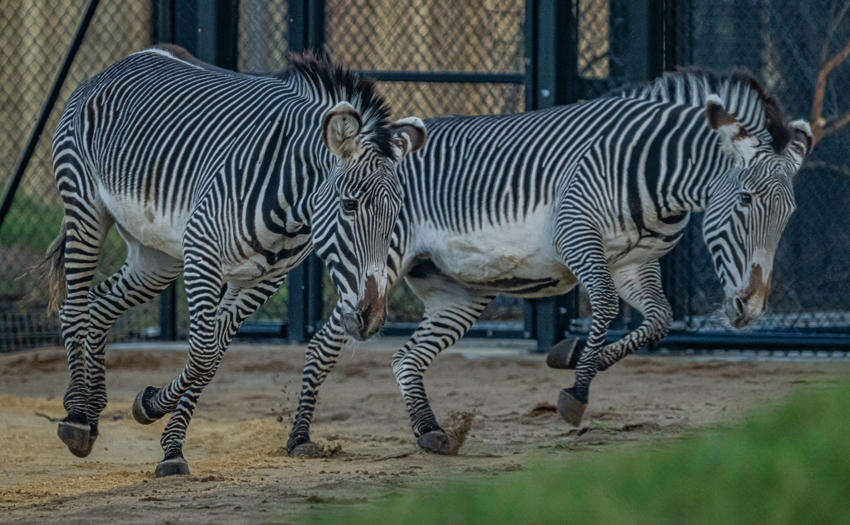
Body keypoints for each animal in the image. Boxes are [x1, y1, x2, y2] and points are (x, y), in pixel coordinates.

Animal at [46, 45, 426, 476]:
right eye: (349, 206)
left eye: (396, 216)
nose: (372, 318)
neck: (292, 202)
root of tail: (128, 60)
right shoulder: (202, 252)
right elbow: (202, 353)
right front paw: (154, 415)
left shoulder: (263, 280)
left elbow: (212, 359)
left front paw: (166, 438)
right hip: (85, 208)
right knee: (74, 307)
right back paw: (77, 418)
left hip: (156, 256)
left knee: (98, 305)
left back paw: (92, 413)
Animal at [285, 68, 813, 457]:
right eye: (745, 201)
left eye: (789, 214)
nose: (752, 309)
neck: (658, 173)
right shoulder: (576, 235)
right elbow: (605, 306)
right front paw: (576, 394)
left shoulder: (635, 263)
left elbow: (658, 320)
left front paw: (572, 355)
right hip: (376, 268)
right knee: (325, 342)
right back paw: (301, 439)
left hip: (459, 290)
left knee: (404, 358)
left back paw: (430, 431)